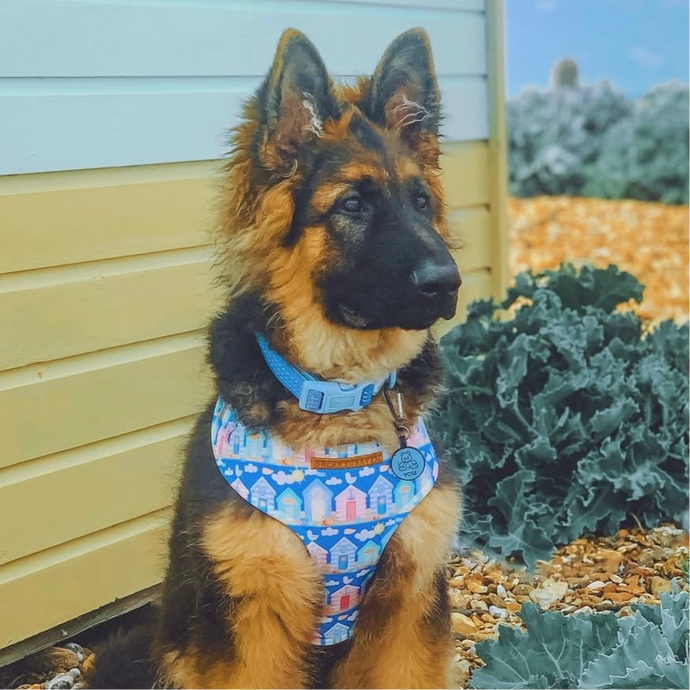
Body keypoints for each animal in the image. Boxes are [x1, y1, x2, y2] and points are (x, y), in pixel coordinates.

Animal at [86, 27, 462, 690]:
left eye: (421, 202)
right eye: (353, 206)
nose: (448, 282)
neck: (340, 399)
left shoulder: (409, 603)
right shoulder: (252, 613)